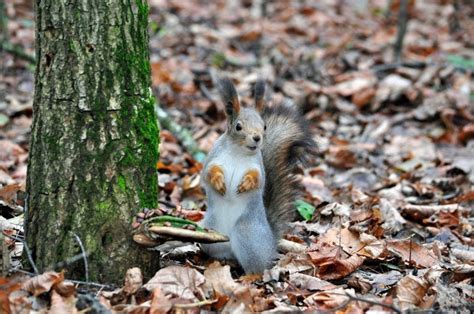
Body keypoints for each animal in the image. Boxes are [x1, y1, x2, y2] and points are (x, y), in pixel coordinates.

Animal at [200, 77, 314, 274]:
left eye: (264, 126)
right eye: (238, 126)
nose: (257, 138)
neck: (238, 152)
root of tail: (270, 243)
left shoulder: (258, 167)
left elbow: (259, 180)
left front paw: (246, 184)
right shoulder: (212, 158)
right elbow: (207, 173)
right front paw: (218, 181)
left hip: (247, 234)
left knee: (258, 269)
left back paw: (249, 276)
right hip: (210, 233)